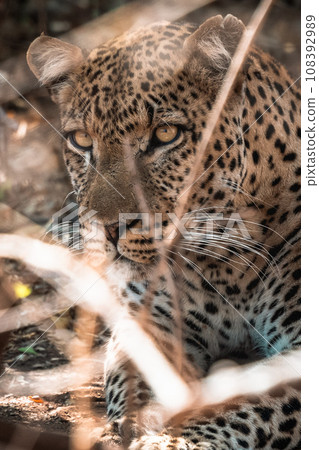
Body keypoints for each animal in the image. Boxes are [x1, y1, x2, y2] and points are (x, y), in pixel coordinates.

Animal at [26, 14, 300, 450]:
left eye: (165, 135)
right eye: (81, 140)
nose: (109, 228)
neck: (227, 266)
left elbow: (246, 404)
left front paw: (171, 441)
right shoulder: (150, 325)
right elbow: (137, 383)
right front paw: (133, 426)